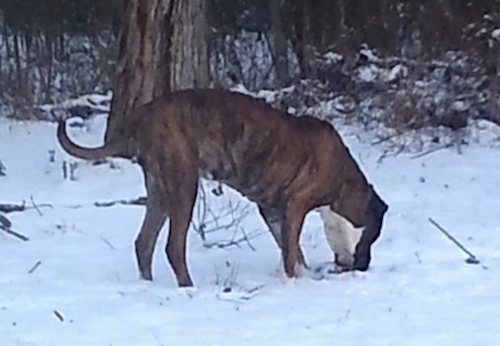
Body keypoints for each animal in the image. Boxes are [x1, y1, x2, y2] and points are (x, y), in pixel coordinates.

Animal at [56, 88, 388, 286]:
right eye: (372, 238)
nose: (365, 267)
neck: (345, 183)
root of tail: (140, 119)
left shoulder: (273, 211)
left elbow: (291, 250)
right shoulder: (295, 207)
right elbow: (291, 253)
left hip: (160, 189)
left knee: (144, 243)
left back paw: (147, 286)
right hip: (183, 184)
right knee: (173, 246)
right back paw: (188, 289)